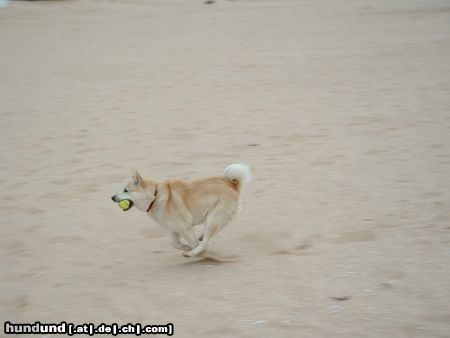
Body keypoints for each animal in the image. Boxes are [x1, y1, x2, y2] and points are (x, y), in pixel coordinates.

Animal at [110, 164, 251, 256]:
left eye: (125, 190)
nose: (112, 197)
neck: (155, 196)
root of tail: (231, 184)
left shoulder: (185, 228)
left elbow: (193, 244)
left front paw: (196, 252)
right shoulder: (175, 229)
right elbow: (174, 243)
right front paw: (185, 247)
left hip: (213, 219)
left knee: (207, 241)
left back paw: (193, 253)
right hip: (212, 219)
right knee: (208, 237)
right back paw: (199, 240)